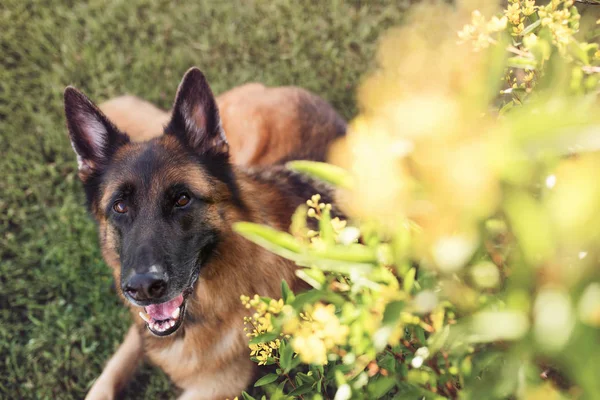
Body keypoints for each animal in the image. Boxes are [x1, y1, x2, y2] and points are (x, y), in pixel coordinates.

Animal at [63, 67, 344, 398]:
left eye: (183, 199)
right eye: (120, 206)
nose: (143, 288)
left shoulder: (216, 385)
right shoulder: (141, 326)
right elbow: (105, 379)